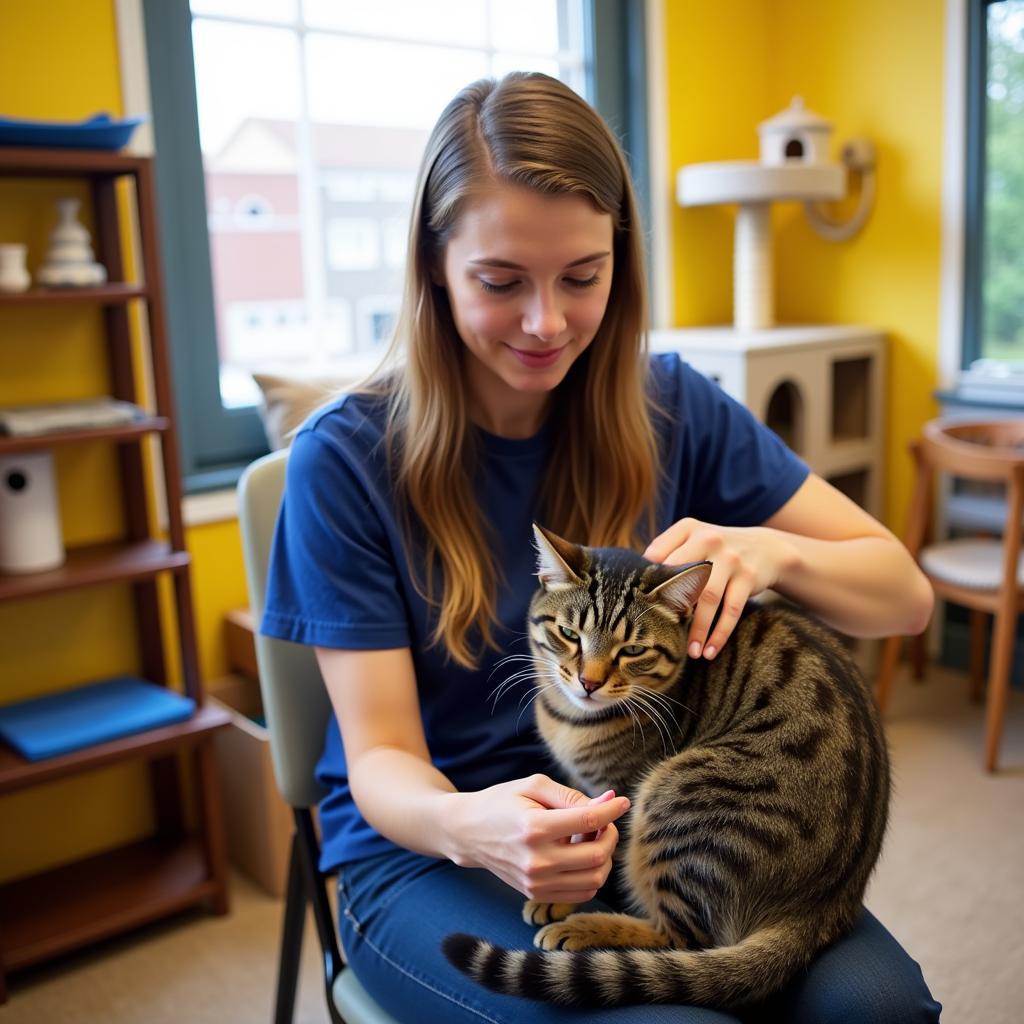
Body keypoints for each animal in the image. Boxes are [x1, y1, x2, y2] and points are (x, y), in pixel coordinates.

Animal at [444, 528, 892, 1007]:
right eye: (568, 633)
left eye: (633, 650)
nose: (589, 682)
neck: (571, 719)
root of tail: (822, 906)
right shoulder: (586, 787)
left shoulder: (619, 790)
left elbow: (604, 847)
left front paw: (563, 898)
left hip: (680, 798)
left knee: (682, 939)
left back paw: (585, 929)